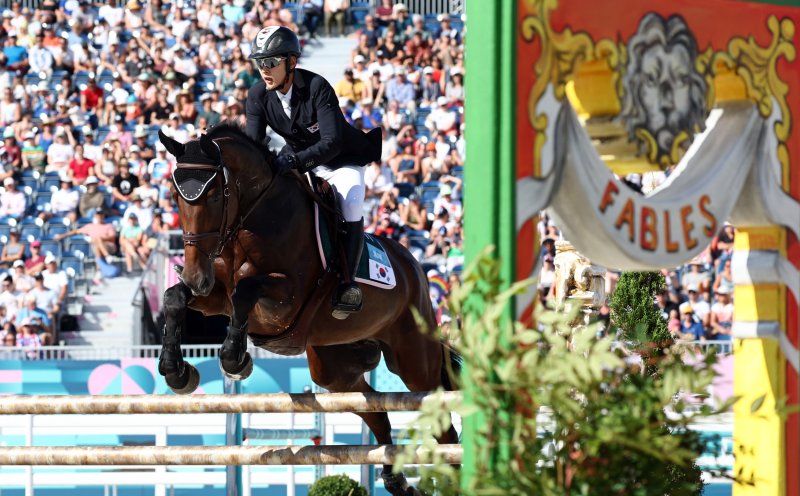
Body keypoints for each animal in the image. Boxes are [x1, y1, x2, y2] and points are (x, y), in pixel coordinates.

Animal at [155, 125, 460, 496]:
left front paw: (235, 360)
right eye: (176, 196)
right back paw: (395, 478)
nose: (195, 276)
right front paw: (176, 371)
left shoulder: (286, 299)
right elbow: (174, 297)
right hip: (334, 368)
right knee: (375, 408)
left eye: (214, 195)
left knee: (440, 421)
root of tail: (414, 267)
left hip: (414, 361)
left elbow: (245, 292)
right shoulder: (215, 296)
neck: (254, 221)